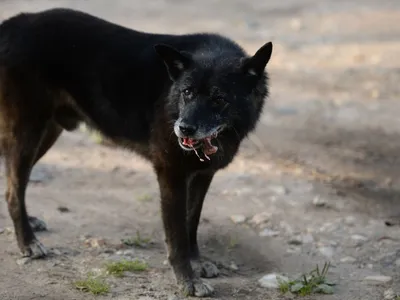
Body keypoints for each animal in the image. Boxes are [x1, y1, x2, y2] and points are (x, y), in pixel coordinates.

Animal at [0, 8, 272, 296]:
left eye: (219, 99)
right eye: (187, 92)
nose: (183, 128)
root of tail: (15, 22)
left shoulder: (202, 176)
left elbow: (191, 223)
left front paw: (197, 263)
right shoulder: (172, 175)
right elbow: (177, 236)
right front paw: (188, 280)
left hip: (45, 135)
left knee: (13, 183)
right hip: (27, 133)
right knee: (14, 191)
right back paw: (28, 242)